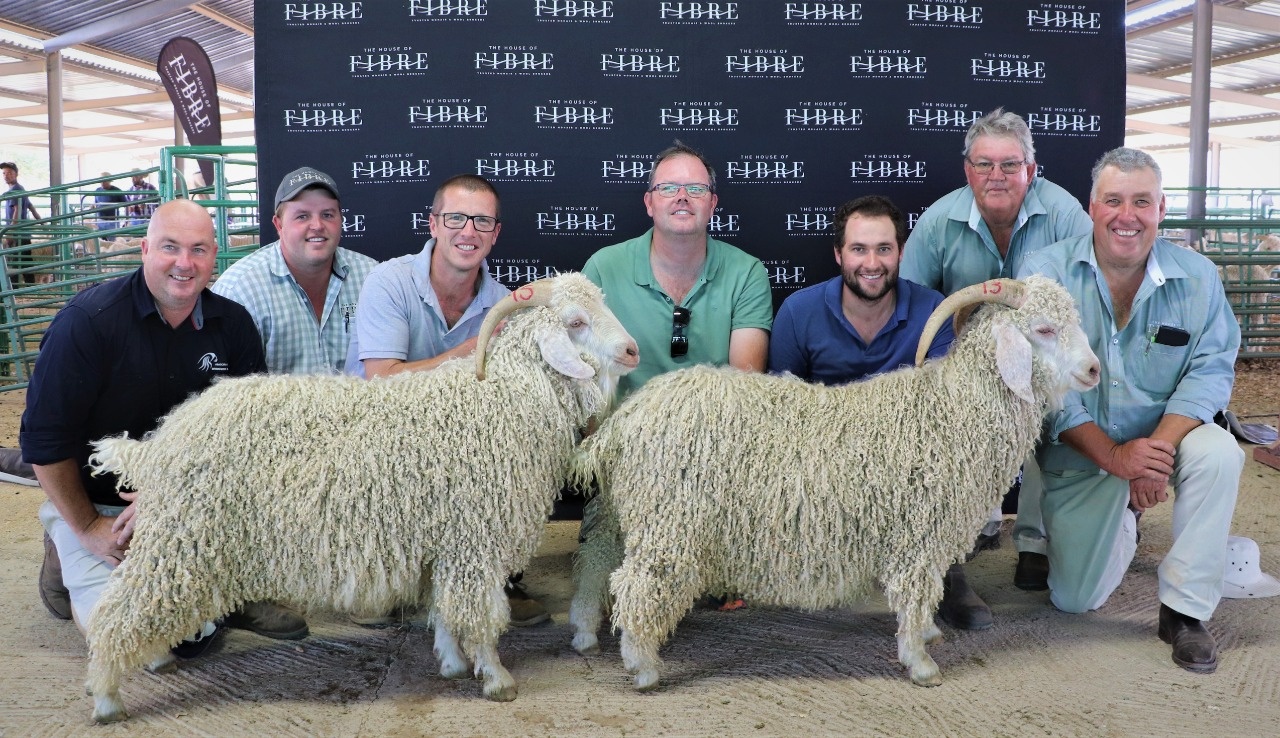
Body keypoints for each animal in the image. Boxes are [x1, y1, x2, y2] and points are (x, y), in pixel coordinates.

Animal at [81, 273, 640, 721]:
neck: (505, 396)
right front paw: (496, 678)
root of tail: (160, 441)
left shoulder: (443, 542)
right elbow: (479, 615)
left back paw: (151, 661)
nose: (633, 350)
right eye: (575, 322)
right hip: (181, 538)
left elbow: (443, 610)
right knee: (117, 610)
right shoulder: (473, 541)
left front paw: (451, 664)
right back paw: (107, 697)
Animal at [570, 274, 1100, 690]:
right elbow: (915, 591)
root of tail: (627, 418)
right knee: (636, 583)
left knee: (597, 563)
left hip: (627, 510)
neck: (951, 410)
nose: (1094, 369)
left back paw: (584, 633)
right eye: (1044, 329)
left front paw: (927, 634)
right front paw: (920, 662)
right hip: (671, 522)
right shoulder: (918, 533)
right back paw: (642, 667)